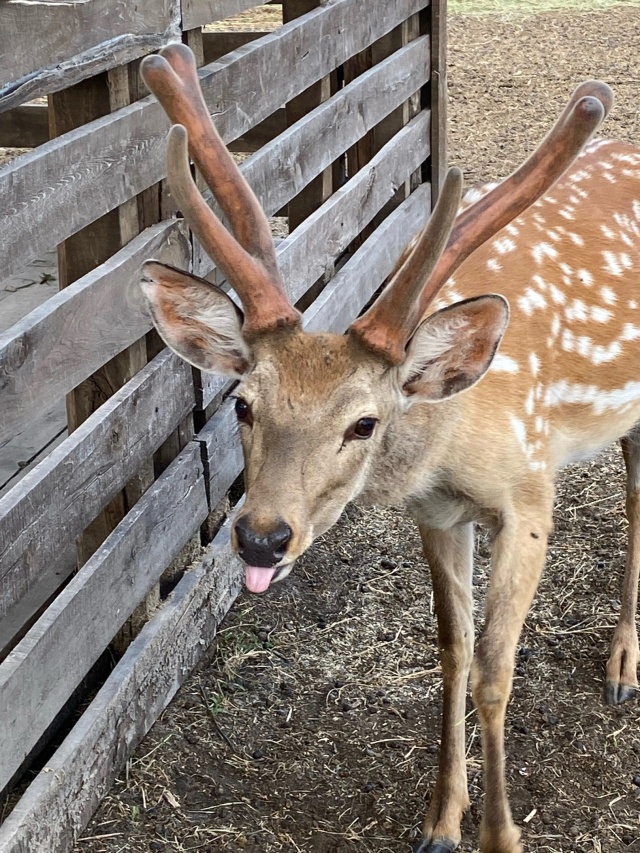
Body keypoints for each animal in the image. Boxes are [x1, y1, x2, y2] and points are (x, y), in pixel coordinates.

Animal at [138, 46, 636, 852]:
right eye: (242, 404)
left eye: (364, 423)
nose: (261, 537)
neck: (453, 438)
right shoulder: (437, 513)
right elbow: (454, 652)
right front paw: (440, 820)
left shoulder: (532, 493)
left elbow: (496, 668)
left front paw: (501, 834)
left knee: (634, 499)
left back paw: (624, 664)